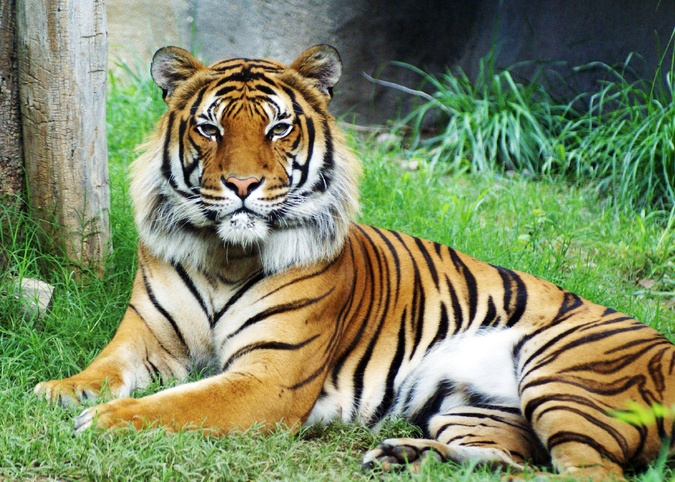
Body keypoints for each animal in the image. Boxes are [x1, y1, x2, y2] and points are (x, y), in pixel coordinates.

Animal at [34, 44, 675, 481]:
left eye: (279, 127)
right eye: (209, 128)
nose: (241, 185)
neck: (227, 254)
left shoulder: (267, 379)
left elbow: (179, 404)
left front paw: (106, 421)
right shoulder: (145, 338)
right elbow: (102, 368)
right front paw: (60, 391)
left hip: (563, 375)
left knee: (588, 474)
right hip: (475, 411)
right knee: (511, 463)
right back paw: (403, 454)